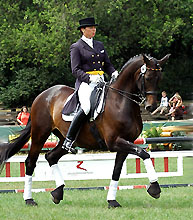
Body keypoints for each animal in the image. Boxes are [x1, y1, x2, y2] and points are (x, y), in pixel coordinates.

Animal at [0, 53, 170, 208]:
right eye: (148, 77)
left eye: (160, 78)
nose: (151, 107)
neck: (121, 102)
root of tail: (43, 95)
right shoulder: (114, 142)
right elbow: (144, 153)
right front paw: (154, 188)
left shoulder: (125, 144)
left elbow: (117, 170)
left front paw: (112, 201)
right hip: (40, 134)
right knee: (31, 162)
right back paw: (29, 199)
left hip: (66, 139)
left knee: (51, 156)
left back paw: (58, 193)